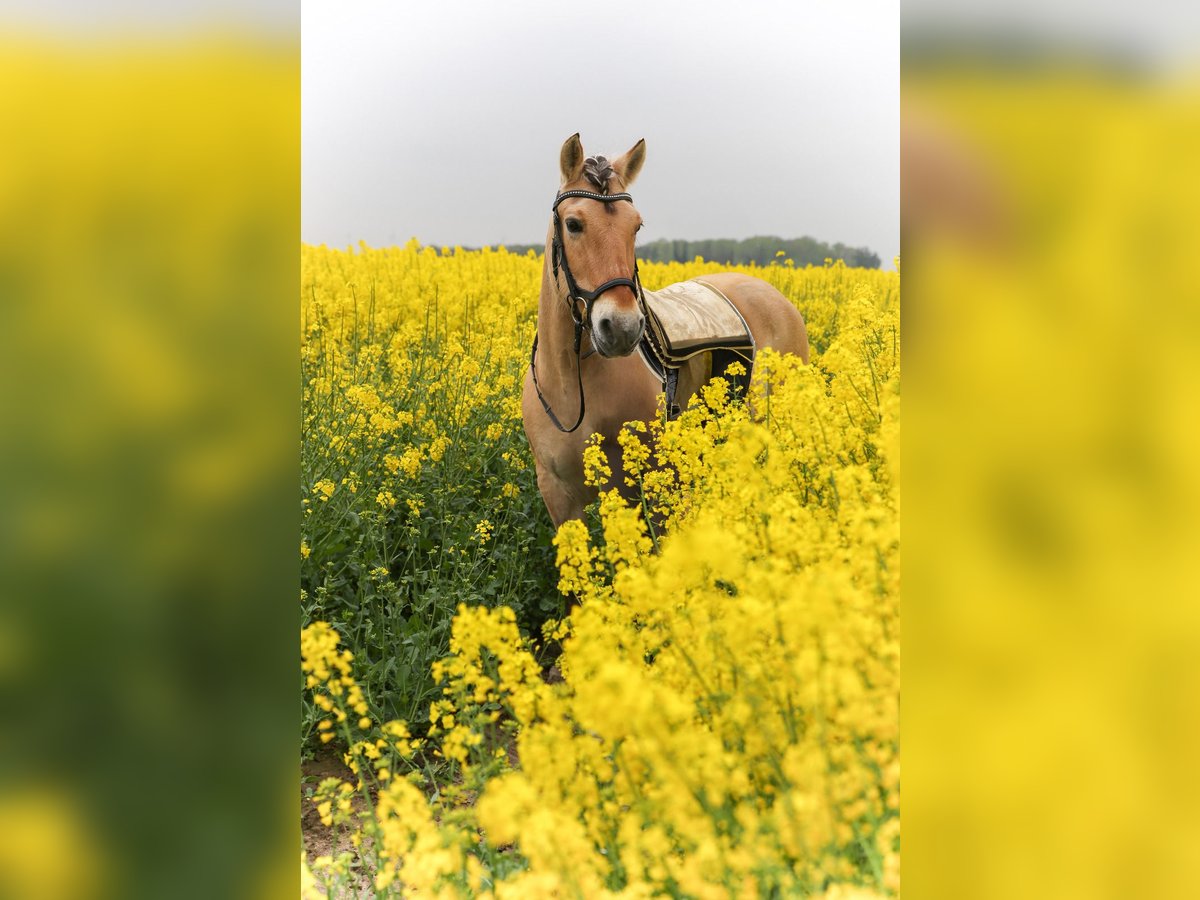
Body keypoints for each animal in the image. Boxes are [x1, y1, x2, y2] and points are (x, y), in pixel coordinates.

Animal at [521, 134, 811, 528]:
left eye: (636, 226)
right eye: (573, 224)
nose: (622, 328)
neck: (570, 382)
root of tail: (774, 294)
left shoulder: (654, 491)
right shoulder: (559, 499)